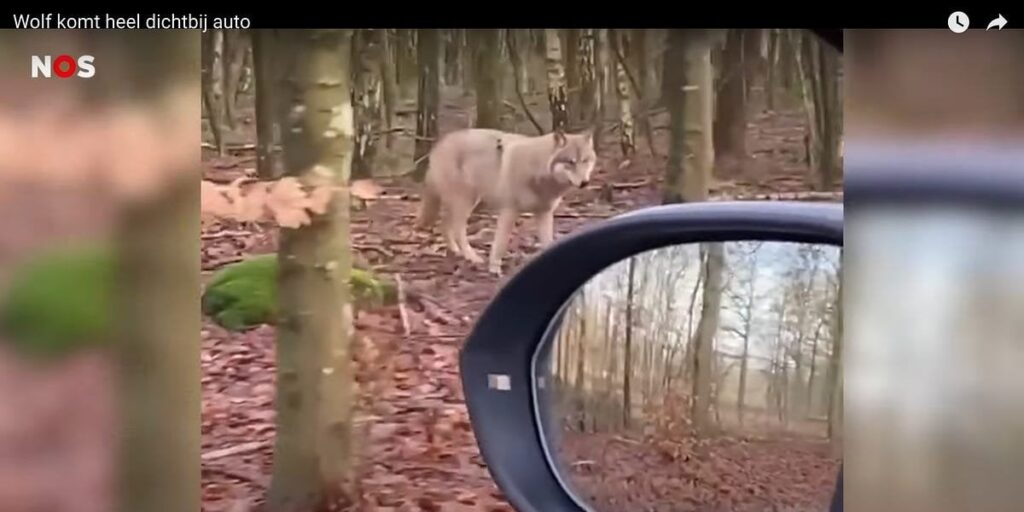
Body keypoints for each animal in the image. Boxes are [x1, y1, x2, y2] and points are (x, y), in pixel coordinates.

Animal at [416, 128, 597, 275]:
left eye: (585, 160)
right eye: (570, 162)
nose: (585, 183)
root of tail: (438, 145)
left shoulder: (544, 213)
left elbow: (548, 243)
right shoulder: (509, 211)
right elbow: (501, 244)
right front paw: (494, 268)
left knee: (445, 224)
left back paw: (455, 251)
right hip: (466, 202)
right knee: (458, 229)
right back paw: (471, 256)